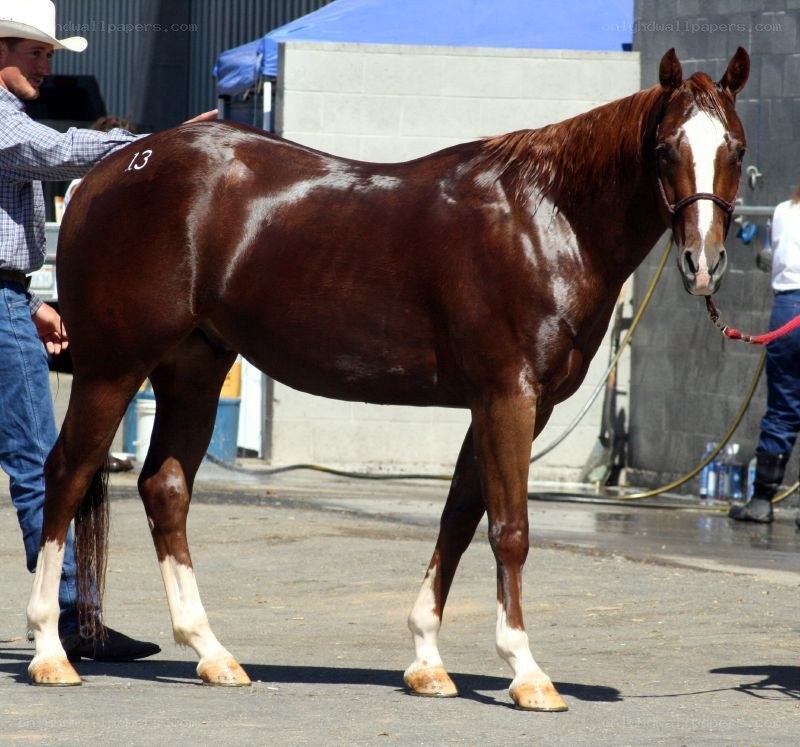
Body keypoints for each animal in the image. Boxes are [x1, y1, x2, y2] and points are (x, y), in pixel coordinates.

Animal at [26, 47, 749, 710]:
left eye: (736, 150)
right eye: (663, 150)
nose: (703, 261)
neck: (543, 218)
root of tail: (105, 174)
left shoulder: (505, 405)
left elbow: (458, 519)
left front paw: (427, 659)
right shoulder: (508, 396)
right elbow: (508, 528)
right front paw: (526, 671)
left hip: (193, 369)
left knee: (166, 489)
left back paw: (211, 652)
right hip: (113, 367)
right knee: (65, 474)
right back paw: (49, 652)